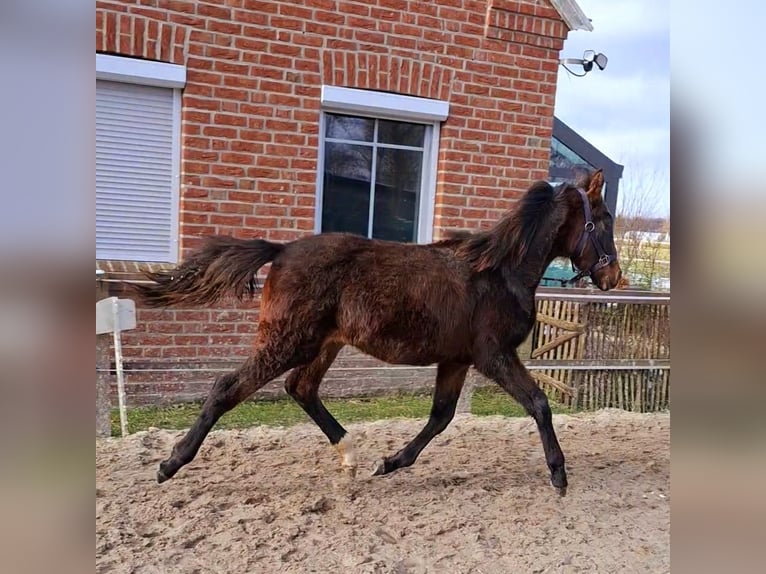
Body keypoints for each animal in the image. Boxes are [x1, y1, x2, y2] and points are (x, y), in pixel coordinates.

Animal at [134, 168, 624, 496]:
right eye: (603, 220)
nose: (614, 277)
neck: (500, 272)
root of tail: (283, 249)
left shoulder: (456, 359)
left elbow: (441, 417)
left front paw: (390, 463)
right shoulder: (494, 355)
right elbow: (538, 403)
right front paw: (559, 475)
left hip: (323, 345)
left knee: (301, 389)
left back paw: (352, 457)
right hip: (287, 342)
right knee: (227, 387)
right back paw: (169, 464)